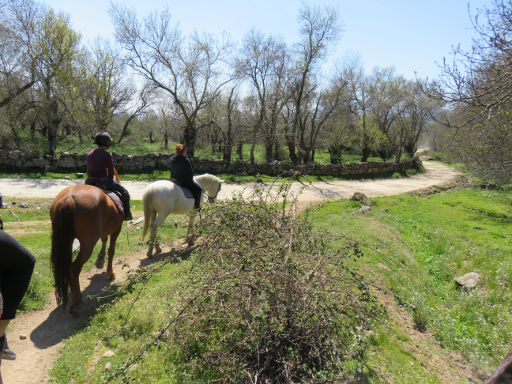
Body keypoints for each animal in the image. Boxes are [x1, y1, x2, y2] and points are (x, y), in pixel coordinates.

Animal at [50, 172, 124, 316]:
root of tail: (69, 198)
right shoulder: (116, 230)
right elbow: (111, 250)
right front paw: (110, 273)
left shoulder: (104, 231)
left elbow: (104, 240)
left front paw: (100, 260)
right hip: (87, 244)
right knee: (74, 268)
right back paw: (76, 303)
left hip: (65, 240)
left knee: (68, 267)